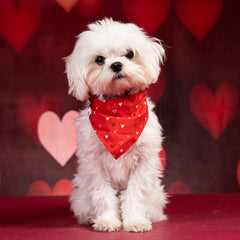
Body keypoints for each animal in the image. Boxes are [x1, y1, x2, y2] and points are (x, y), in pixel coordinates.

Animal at [64, 17, 168, 232]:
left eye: (130, 54)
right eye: (99, 60)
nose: (117, 65)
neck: (119, 112)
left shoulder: (144, 162)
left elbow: (135, 194)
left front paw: (135, 220)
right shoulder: (94, 164)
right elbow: (103, 195)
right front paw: (107, 221)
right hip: (81, 193)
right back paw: (90, 218)